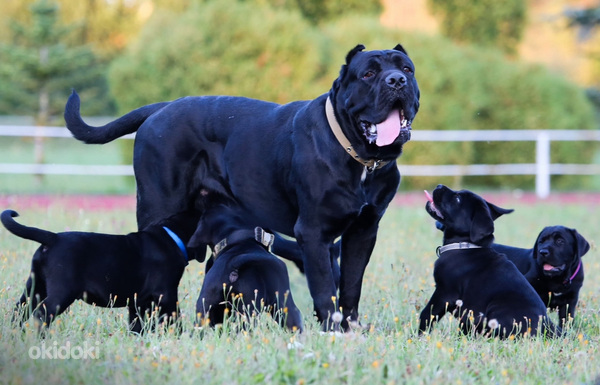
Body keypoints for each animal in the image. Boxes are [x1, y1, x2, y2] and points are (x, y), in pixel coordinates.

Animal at [1, 208, 200, 332]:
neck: (171, 236)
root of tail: (53, 238)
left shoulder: (139, 301)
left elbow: (137, 325)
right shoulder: (166, 294)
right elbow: (175, 320)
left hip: (35, 287)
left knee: (20, 311)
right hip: (62, 292)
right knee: (41, 314)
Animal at [63, 44, 420, 328]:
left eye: (406, 69)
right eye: (369, 74)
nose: (396, 81)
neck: (362, 160)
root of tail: (161, 108)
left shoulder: (364, 230)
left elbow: (350, 287)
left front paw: (351, 330)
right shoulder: (313, 232)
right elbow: (324, 291)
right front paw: (332, 332)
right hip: (157, 205)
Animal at [420, 184, 560, 338]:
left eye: (457, 199)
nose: (439, 186)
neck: (466, 245)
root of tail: (546, 326)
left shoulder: (444, 292)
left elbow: (427, 314)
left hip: (496, 307)